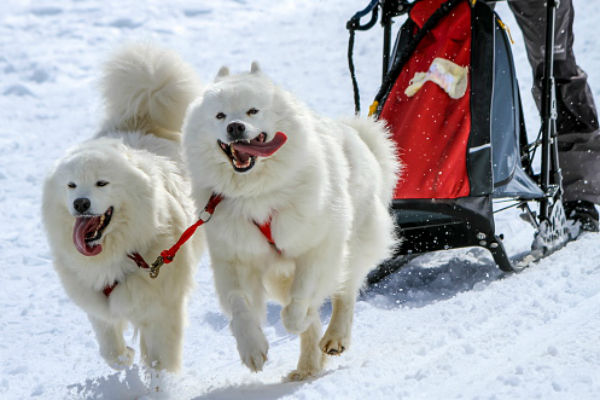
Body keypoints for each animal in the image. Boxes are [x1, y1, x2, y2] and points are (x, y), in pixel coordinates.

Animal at [42, 43, 204, 372]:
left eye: (102, 183)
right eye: (71, 185)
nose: (81, 203)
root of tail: (142, 116)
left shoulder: (163, 308)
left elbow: (160, 360)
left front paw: (159, 378)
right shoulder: (97, 303)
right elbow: (110, 348)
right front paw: (125, 356)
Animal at [180, 64, 400, 380]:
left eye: (252, 111)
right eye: (220, 115)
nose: (235, 127)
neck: (256, 194)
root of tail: (358, 135)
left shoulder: (318, 246)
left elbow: (302, 298)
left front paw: (298, 317)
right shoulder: (235, 258)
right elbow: (240, 304)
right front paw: (252, 349)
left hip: (354, 243)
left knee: (346, 292)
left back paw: (335, 338)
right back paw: (308, 366)